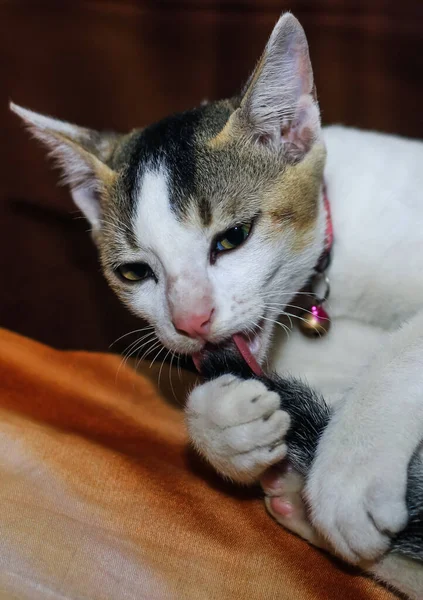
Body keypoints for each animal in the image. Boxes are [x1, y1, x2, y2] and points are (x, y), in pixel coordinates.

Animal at [9, 10, 423, 600]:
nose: (191, 319)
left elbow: (402, 345)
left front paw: (349, 468)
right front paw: (224, 426)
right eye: (133, 272)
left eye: (232, 238)